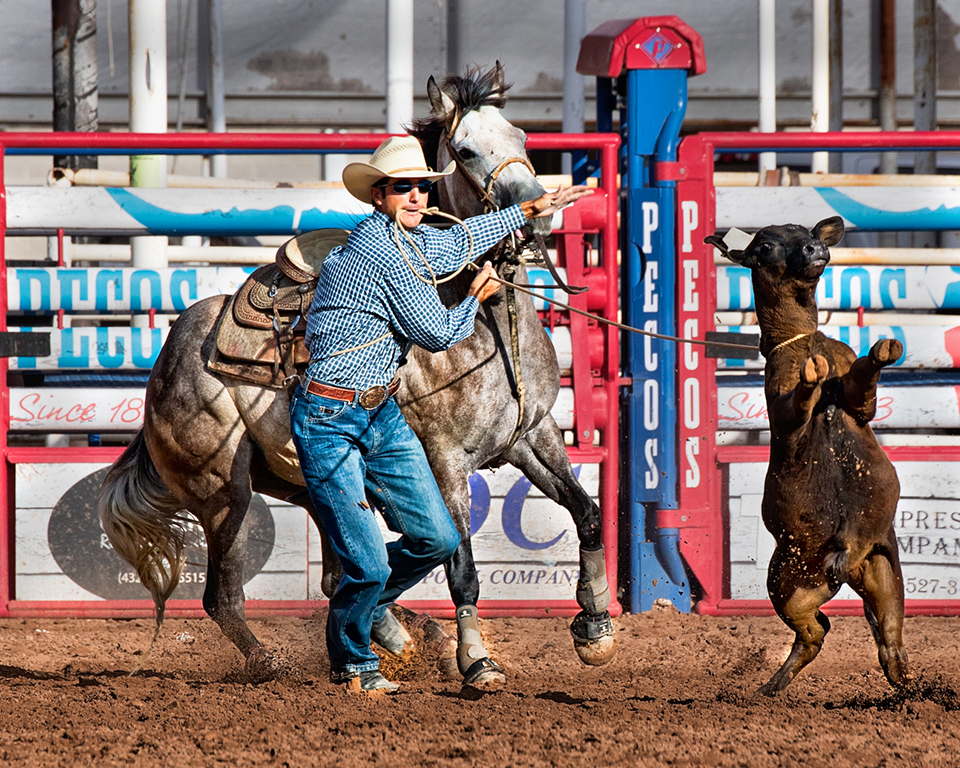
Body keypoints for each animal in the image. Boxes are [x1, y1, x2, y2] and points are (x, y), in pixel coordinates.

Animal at [97, 64, 616, 684]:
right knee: (224, 596)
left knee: (341, 573)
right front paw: (476, 660)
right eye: (465, 150)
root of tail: (167, 361)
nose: (541, 208)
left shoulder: (533, 437)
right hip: (224, 493)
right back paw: (274, 661)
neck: (487, 328)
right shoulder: (445, 463)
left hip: (310, 485)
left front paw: (595, 625)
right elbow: (462, 566)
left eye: (522, 138)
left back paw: (398, 633)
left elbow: (587, 513)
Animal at [708, 216, 912, 696]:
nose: (814, 248)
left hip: (883, 572)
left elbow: (862, 379)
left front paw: (882, 350)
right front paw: (812, 376)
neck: (803, 341)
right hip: (787, 583)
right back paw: (770, 686)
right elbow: (798, 401)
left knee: (887, 640)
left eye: (805, 232)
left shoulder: (858, 401)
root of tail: (847, 552)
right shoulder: (782, 409)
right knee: (815, 632)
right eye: (765, 245)